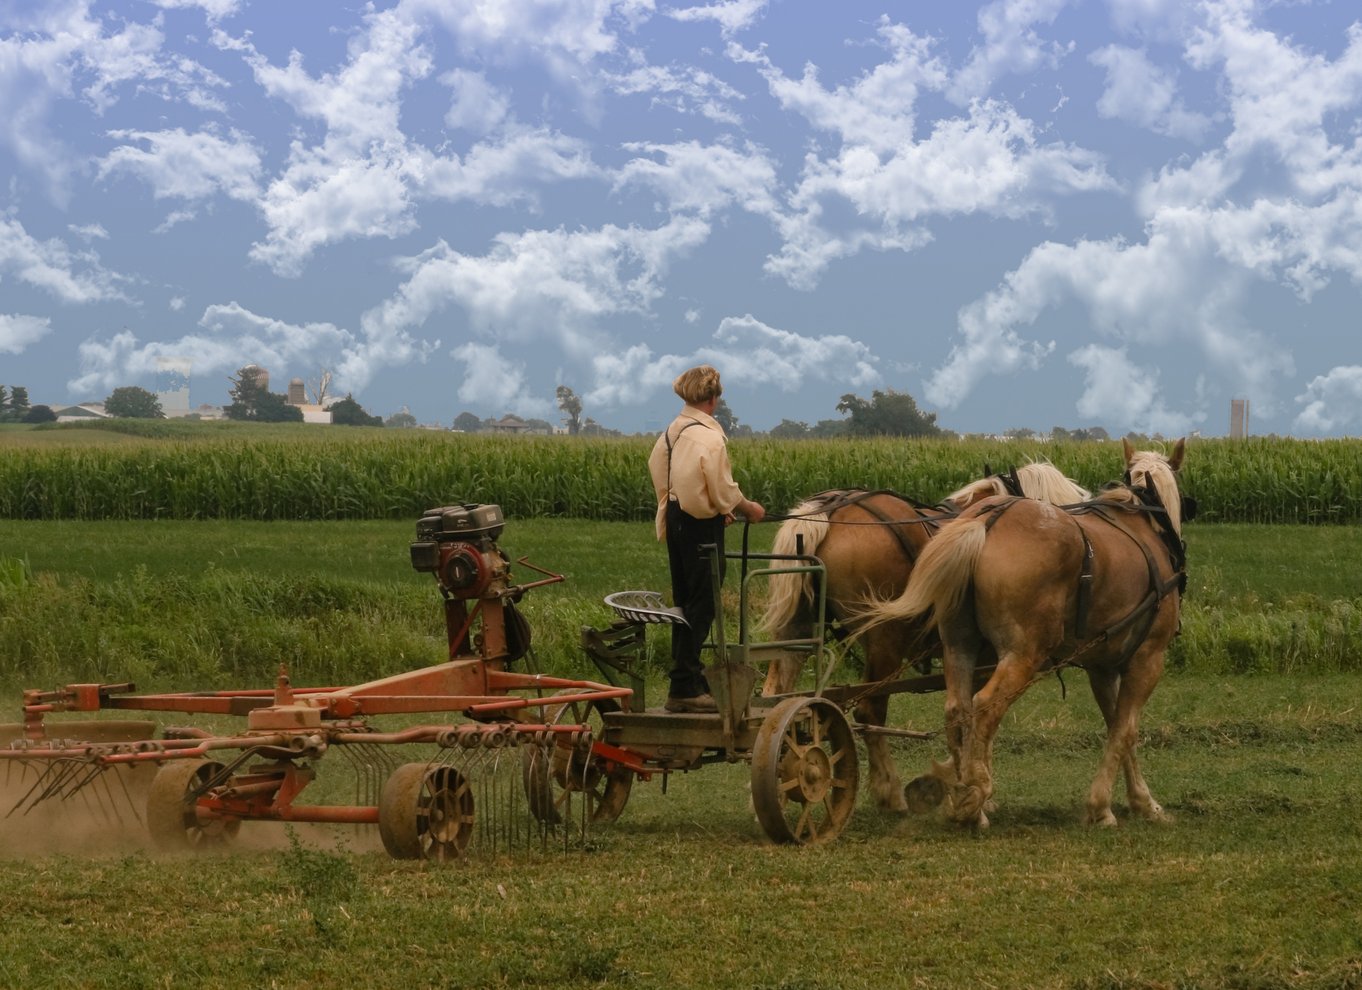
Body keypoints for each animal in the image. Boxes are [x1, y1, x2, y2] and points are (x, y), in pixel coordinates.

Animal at [762, 465, 1089, 811]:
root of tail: (829, 510)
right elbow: (975, 716)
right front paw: (975, 787)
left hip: (795, 632)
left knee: (774, 703)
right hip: (885, 643)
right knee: (869, 712)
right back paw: (889, 791)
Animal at [866, 441, 1187, 827]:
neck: (1143, 521)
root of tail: (985, 521)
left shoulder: (1103, 667)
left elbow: (1116, 726)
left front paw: (1135, 799)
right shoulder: (1147, 660)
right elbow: (1126, 730)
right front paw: (1110, 806)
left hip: (958, 644)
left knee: (958, 709)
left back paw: (962, 795)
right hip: (1023, 654)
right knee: (984, 706)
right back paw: (974, 798)